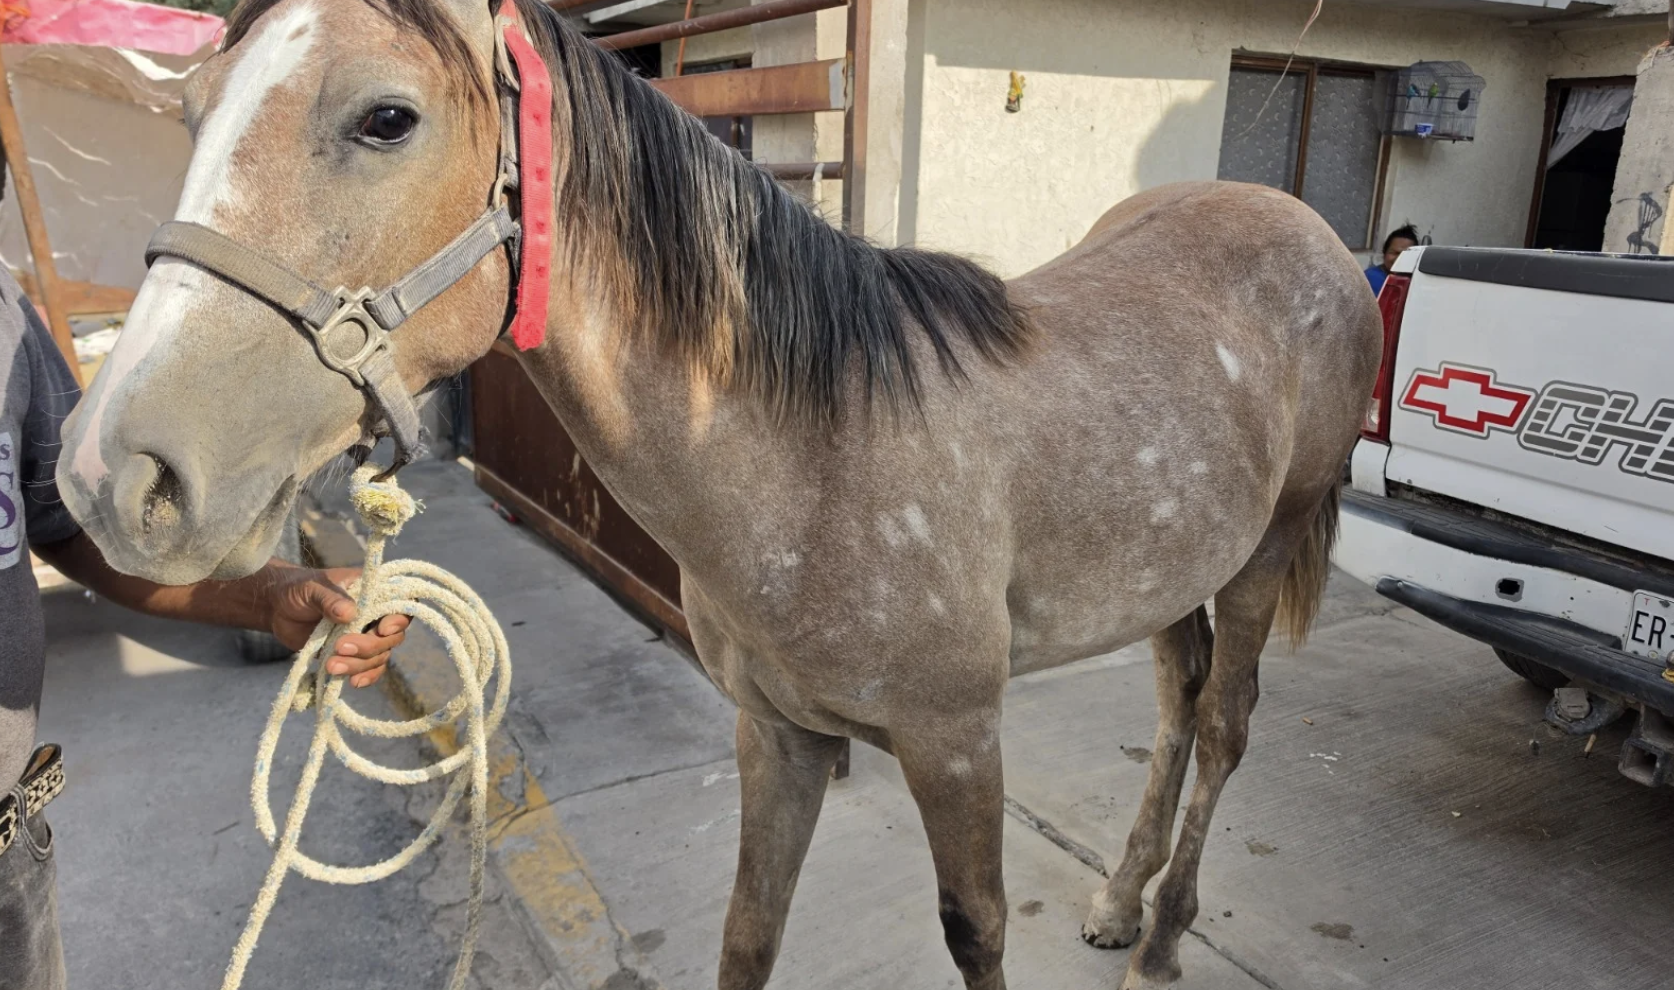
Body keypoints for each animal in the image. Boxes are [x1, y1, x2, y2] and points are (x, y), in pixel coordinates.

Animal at [55, 1, 1382, 987]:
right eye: (189, 110)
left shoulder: (958, 742)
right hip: (1175, 574)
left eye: (386, 118)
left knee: (1225, 726)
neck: (818, 452)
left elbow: (979, 933)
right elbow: (749, 933)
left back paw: (1162, 938)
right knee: (1175, 711)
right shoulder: (776, 735)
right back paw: (1117, 901)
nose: (112, 474)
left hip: (1263, 557)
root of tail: (1310, 231)